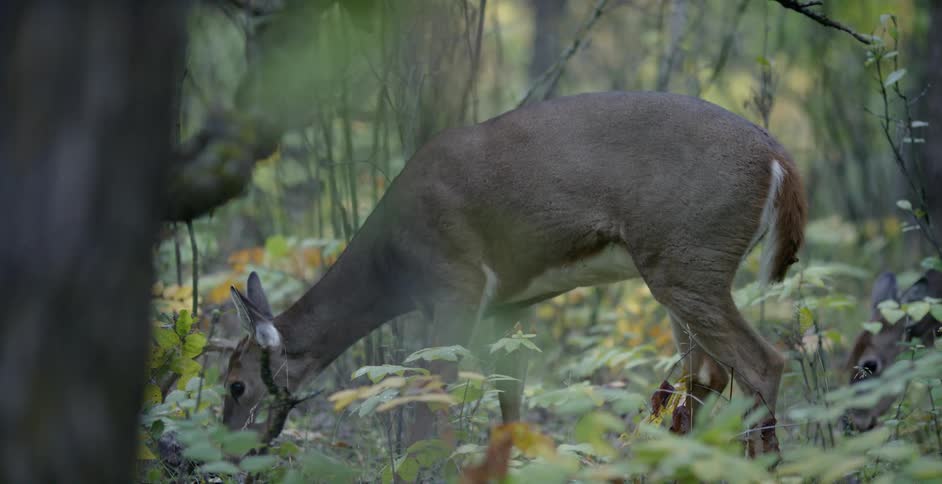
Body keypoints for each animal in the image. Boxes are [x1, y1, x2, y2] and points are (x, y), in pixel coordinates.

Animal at [222, 91, 807, 455]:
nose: (227, 443)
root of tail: (780, 157)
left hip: (688, 260)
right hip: (682, 266)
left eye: (234, 385)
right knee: (705, 375)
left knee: (763, 364)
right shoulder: (509, 307)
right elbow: (511, 404)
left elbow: (431, 398)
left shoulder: (457, 283)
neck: (392, 267)